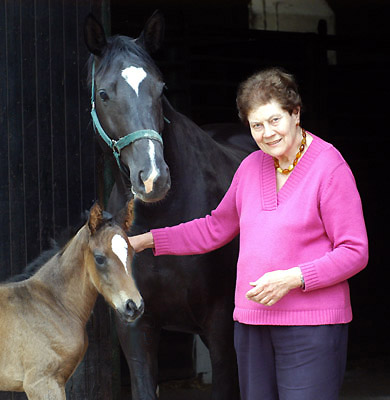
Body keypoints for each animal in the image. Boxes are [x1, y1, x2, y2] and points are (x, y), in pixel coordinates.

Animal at [84, 10, 254, 398]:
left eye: (161, 89)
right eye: (104, 93)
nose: (153, 178)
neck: (162, 214)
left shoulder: (220, 325)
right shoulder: (135, 326)